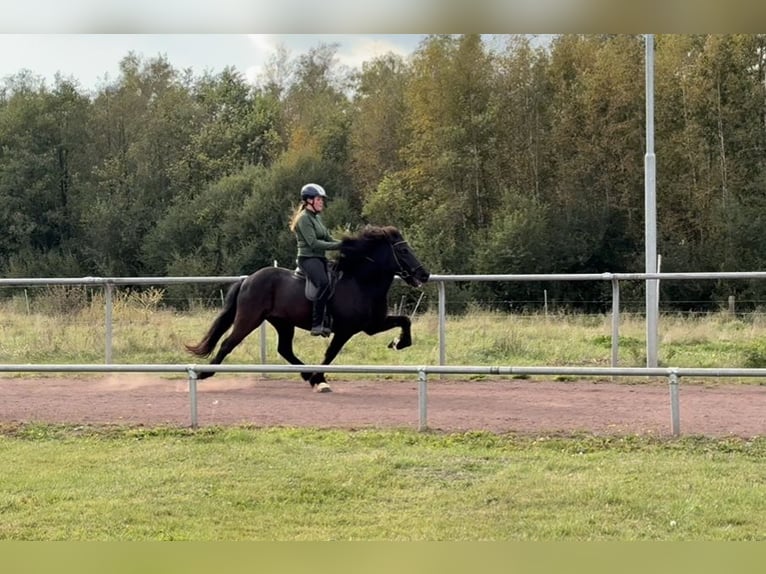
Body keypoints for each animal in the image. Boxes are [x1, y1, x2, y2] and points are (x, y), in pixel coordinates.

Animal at [184, 225, 431, 392]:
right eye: (404, 251)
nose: (424, 274)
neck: (360, 282)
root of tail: (248, 279)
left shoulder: (372, 325)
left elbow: (405, 320)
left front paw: (398, 343)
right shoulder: (346, 330)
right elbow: (331, 353)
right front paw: (319, 379)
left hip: (283, 323)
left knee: (284, 349)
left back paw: (306, 374)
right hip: (249, 318)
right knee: (228, 343)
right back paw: (205, 374)